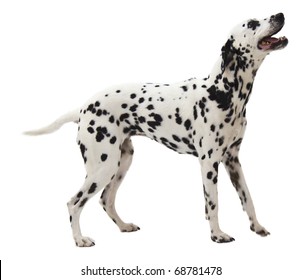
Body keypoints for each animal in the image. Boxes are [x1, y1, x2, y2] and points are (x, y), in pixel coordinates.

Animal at [25, 13, 288, 246]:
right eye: (252, 23)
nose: (280, 14)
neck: (223, 92)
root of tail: (83, 108)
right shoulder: (209, 163)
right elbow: (212, 204)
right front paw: (217, 235)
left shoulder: (233, 161)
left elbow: (248, 199)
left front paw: (257, 227)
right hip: (102, 167)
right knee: (74, 203)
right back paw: (80, 239)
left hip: (121, 162)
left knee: (106, 200)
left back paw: (123, 226)